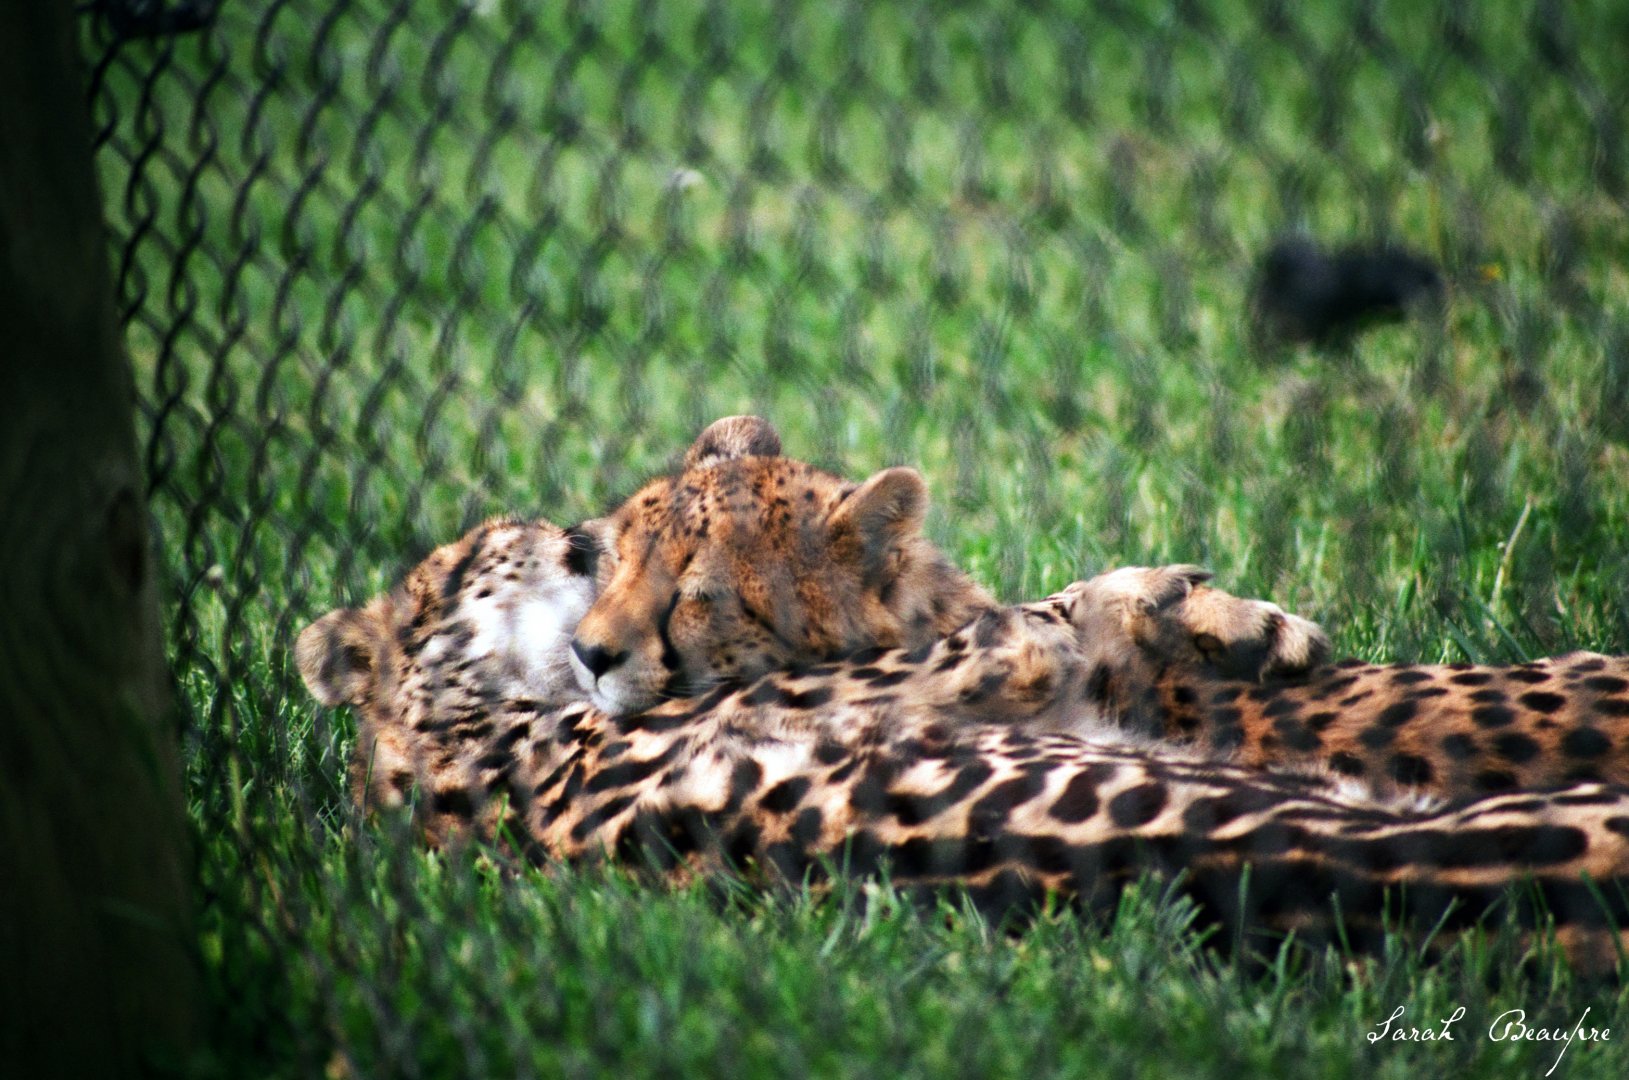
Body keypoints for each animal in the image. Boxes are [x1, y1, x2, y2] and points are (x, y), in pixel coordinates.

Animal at [296, 518, 1629, 973]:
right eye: (485, 550)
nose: (578, 531)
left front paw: (1222, 619)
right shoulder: (900, 685)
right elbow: (1037, 611)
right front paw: (1190, 601)